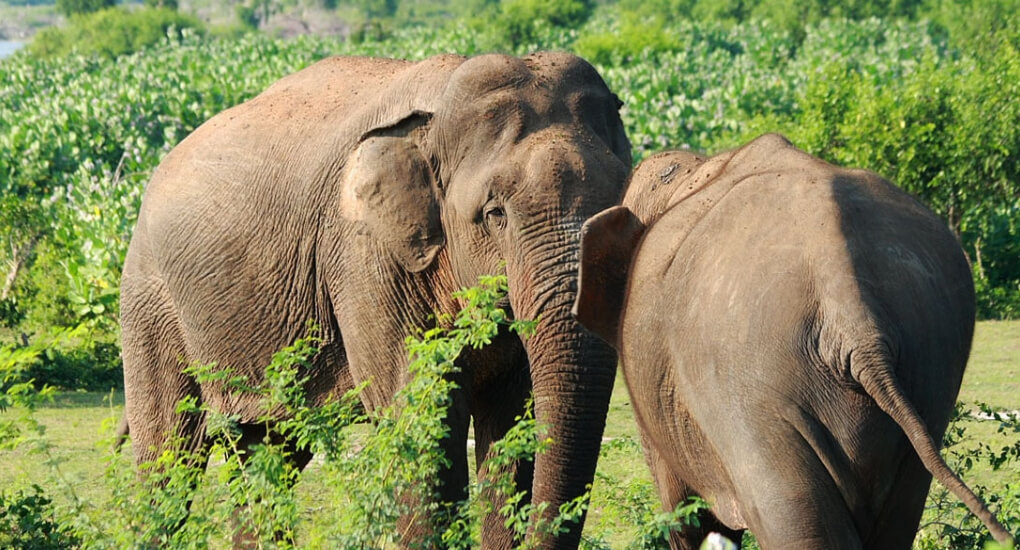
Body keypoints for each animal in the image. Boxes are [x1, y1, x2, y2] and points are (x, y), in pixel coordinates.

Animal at [119, 52, 628, 550]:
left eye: (620, 203)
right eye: (495, 214)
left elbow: (514, 423)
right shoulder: (363, 256)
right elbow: (422, 421)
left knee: (269, 452)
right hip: (151, 299)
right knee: (169, 456)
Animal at [575, 134, 1011, 550]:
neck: (696, 169)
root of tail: (846, 301)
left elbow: (686, 512)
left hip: (753, 396)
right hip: (929, 367)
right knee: (896, 518)